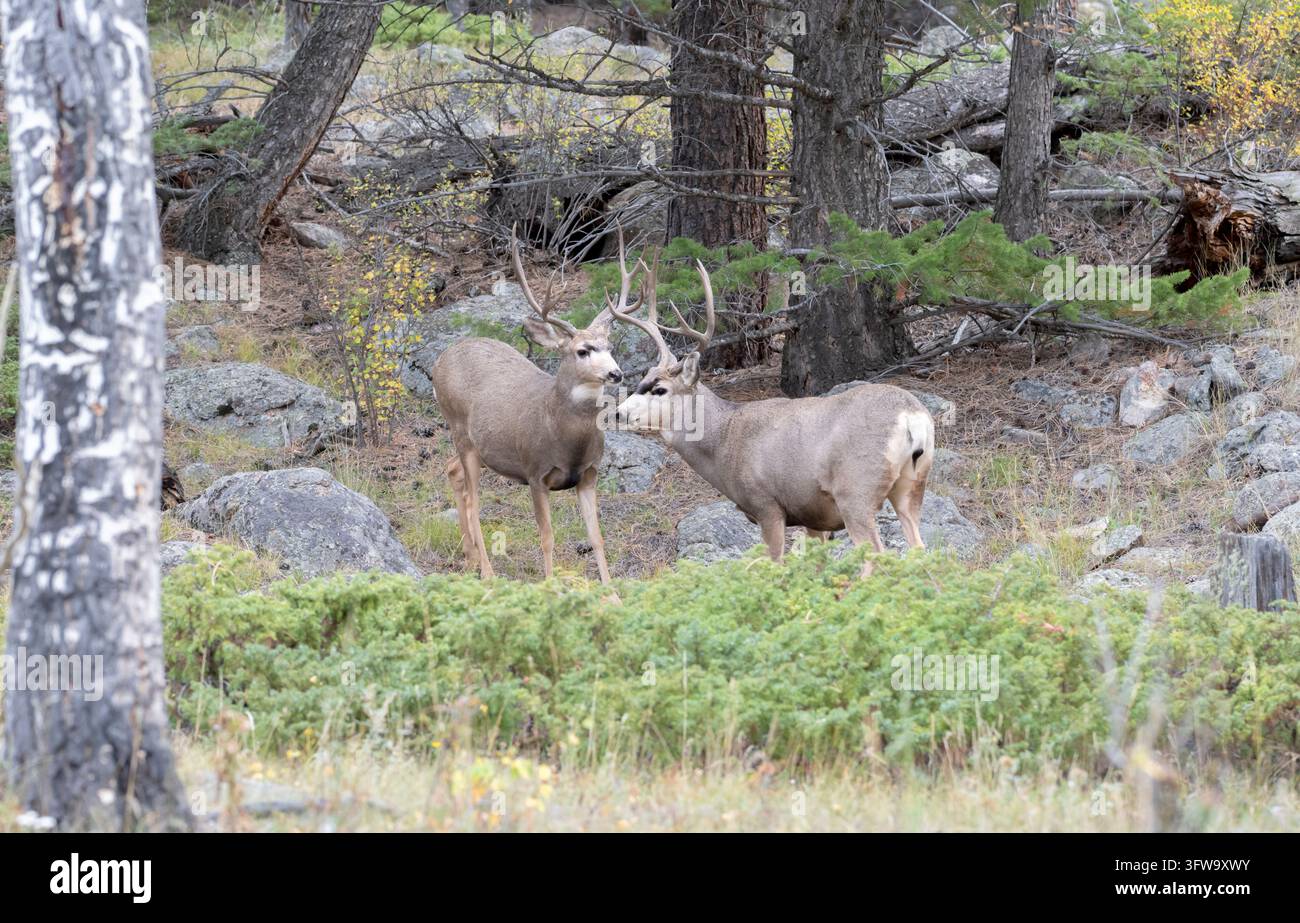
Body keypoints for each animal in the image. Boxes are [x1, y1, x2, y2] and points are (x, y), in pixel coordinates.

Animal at [430, 233, 642, 585]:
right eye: (583, 350)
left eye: (610, 348)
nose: (616, 373)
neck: (565, 438)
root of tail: (441, 359)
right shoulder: (534, 472)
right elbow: (547, 537)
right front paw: (550, 584)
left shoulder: (589, 474)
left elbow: (597, 537)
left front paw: (612, 592)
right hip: (460, 429)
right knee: (474, 501)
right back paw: (487, 572)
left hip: (481, 447)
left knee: (451, 470)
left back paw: (470, 558)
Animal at [610, 256, 935, 577]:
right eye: (642, 379)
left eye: (660, 389)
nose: (618, 412)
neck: (724, 441)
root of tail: (912, 417)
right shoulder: (813, 515)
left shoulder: (766, 504)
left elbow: (775, 564)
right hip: (912, 486)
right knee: (920, 549)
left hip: (855, 492)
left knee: (875, 556)